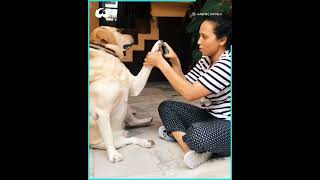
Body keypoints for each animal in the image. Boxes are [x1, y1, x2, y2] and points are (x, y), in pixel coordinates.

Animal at [89, 26, 162, 163]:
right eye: (118, 31)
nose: (134, 34)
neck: (109, 57)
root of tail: (122, 132)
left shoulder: (135, 86)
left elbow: (146, 66)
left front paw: (157, 46)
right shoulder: (101, 112)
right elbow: (108, 137)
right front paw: (113, 155)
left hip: (126, 104)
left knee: (131, 123)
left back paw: (145, 126)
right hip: (114, 140)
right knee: (127, 139)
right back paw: (144, 142)